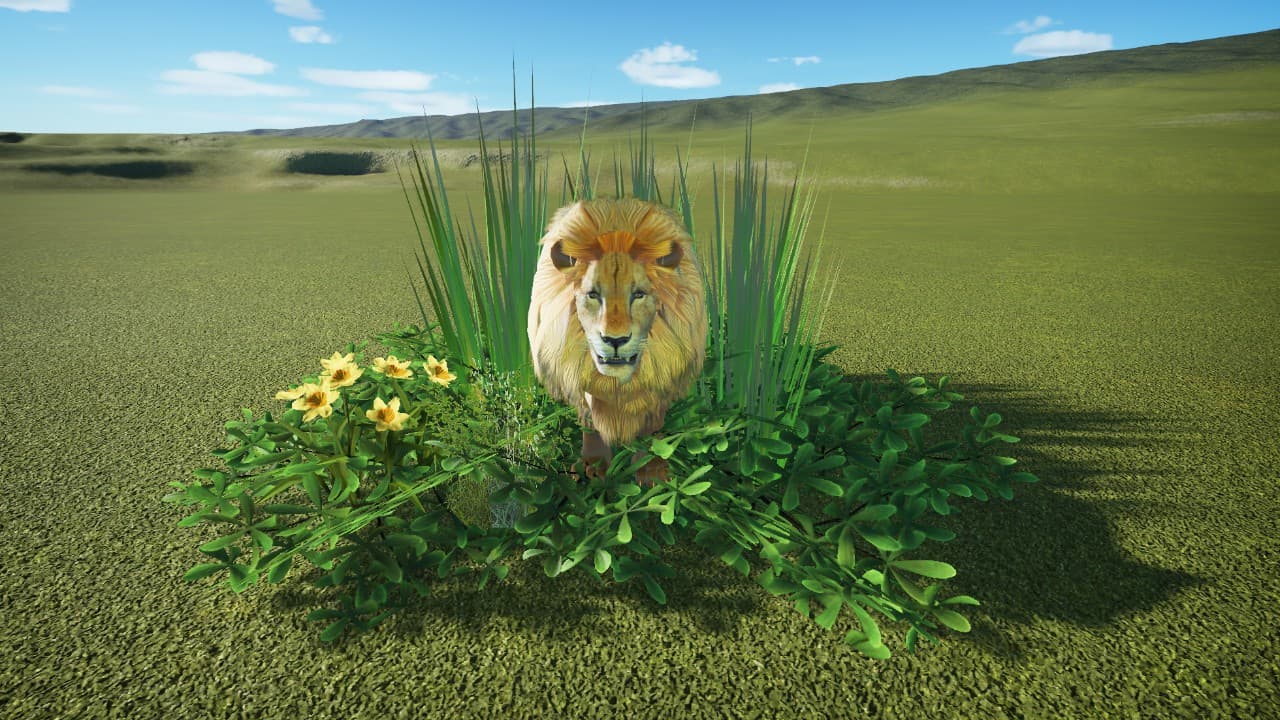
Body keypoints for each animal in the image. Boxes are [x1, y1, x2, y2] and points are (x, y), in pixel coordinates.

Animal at [528, 198, 708, 486]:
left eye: (639, 295)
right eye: (592, 294)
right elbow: (590, 421)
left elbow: (651, 428)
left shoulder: (662, 376)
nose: (615, 339)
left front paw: (651, 471)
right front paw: (594, 466)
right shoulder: (578, 374)